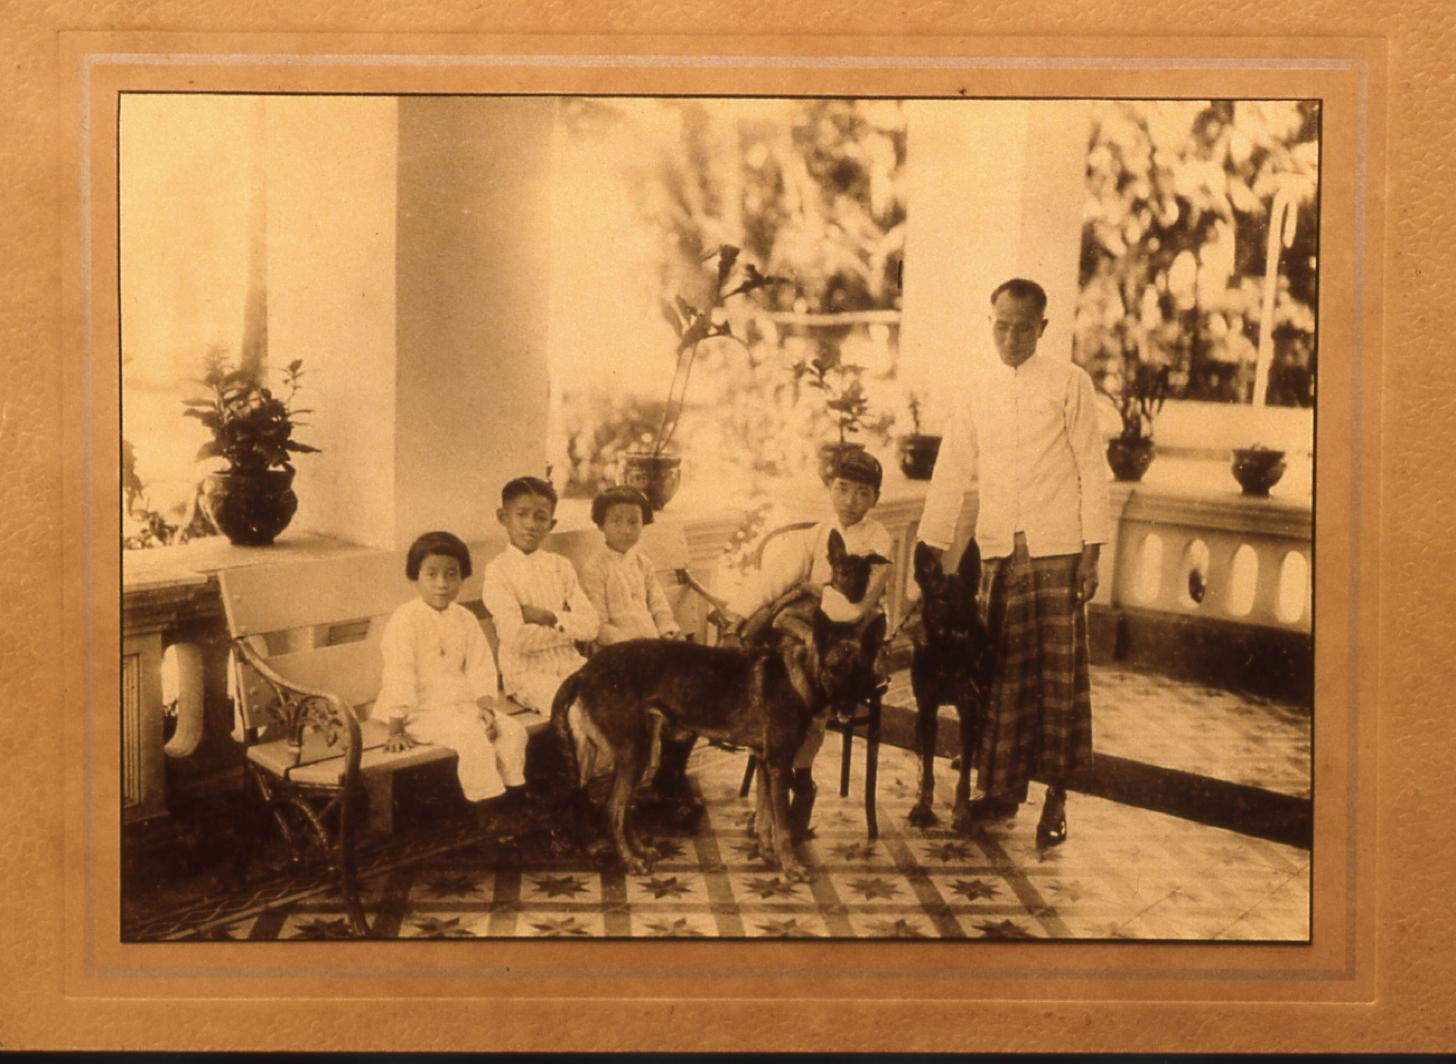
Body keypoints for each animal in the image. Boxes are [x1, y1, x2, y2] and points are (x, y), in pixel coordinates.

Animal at [550, 609, 887, 881]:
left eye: (859, 669)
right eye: (833, 669)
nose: (845, 709)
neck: (798, 676)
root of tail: (582, 672)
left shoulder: (764, 761)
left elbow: (765, 817)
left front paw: (768, 855)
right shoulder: (779, 764)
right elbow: (783, 825)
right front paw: (791, 868)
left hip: (620, 757)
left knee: (619, 809)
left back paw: (640, 851)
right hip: (634, 753)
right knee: (612, 810)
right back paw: (631, 861)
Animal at [906, 540, 995, 834]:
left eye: (967, 597)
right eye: (942, 599)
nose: (965, 629)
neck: (947, 654)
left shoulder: (969, 710)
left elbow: (965, 778)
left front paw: (962, 812)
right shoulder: (927, 712)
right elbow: (927, 768)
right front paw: (923, 806)